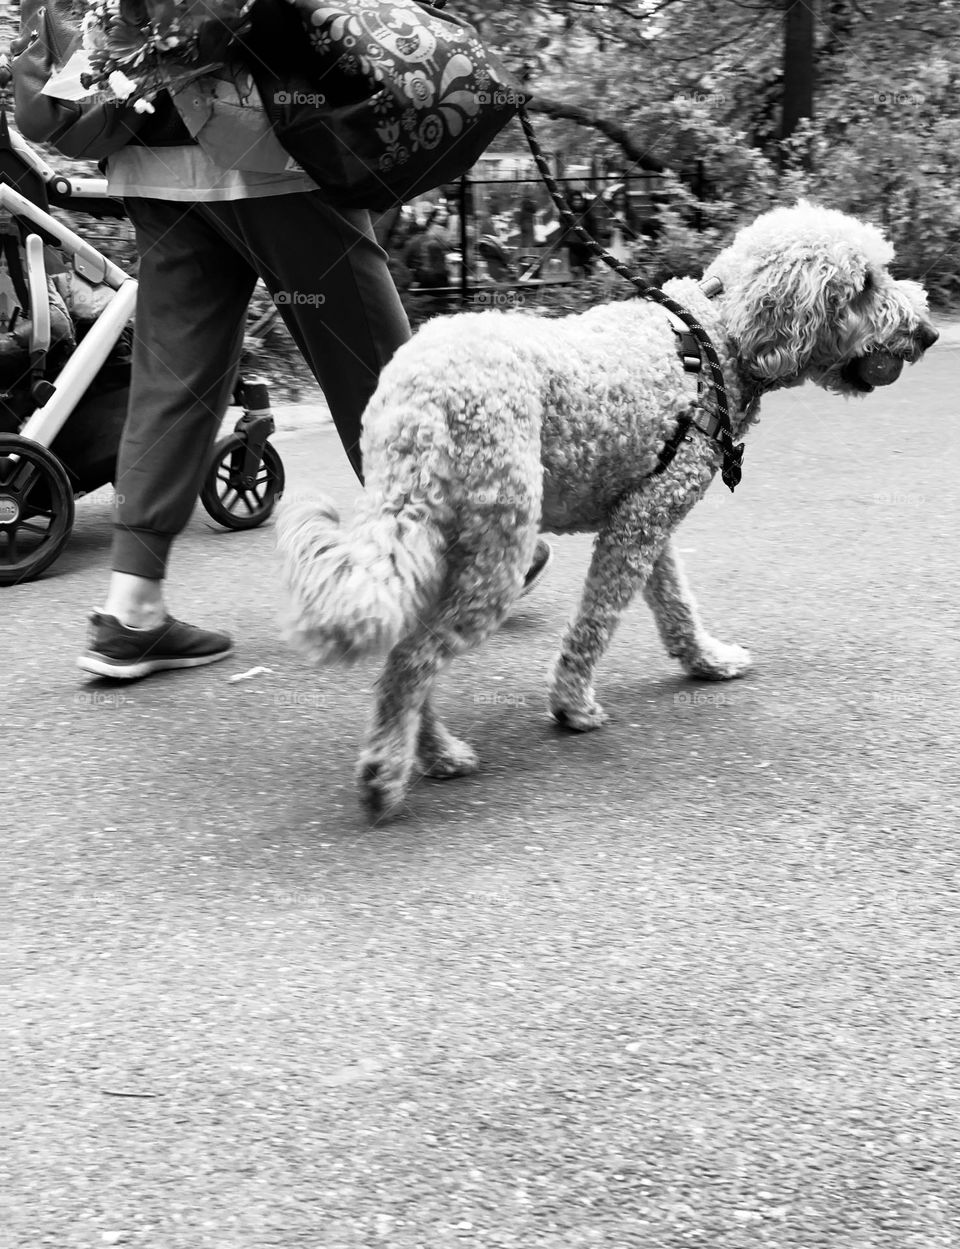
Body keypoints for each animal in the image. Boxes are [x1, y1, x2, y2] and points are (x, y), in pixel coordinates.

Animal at [277, 199, 938, 814]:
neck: (718, 335)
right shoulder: (638, 524)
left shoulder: (649, 510)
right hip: (496, 545)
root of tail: (417, 394)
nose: (929, 333)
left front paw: (706, 661)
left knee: (407, 648)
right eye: (864, 285)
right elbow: (597, 619)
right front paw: (572, 705)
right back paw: (386, 776)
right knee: (413, 656)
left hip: (442, 528)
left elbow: (675, 603)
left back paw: (432, 752)